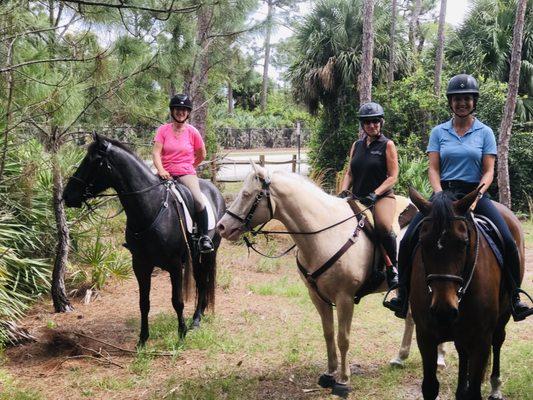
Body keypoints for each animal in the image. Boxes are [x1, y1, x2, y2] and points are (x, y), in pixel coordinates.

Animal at [62, 133, 224, 346]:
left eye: (93, 161)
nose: (67, 195)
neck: (152, 208)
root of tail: (214, 189)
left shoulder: (174, 265)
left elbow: (177, 301)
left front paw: (181, 335)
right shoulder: (140, 265)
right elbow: (143, 303)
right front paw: (142, 339)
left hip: (207, 254)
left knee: (203, 282)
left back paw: (196, 319)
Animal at [216, 165, 444, 396]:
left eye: (247, 194)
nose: (222, 227)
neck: (325, 233)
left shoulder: (345, 298)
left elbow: (343, 338)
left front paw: (343, 381)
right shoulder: (317, 297)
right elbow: (328, 333)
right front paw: (329, 373)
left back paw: (439, 359)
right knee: (411, 317)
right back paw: (401, 357)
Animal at [406, 188, 520, 400]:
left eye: (463, 243)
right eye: (422, 242)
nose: (443, 310)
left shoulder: (481, 339)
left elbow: (474, 391)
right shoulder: (425, 336)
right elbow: (430, 387)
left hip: (503, 315)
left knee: (498, 340)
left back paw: (495, 387)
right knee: (462, 351)